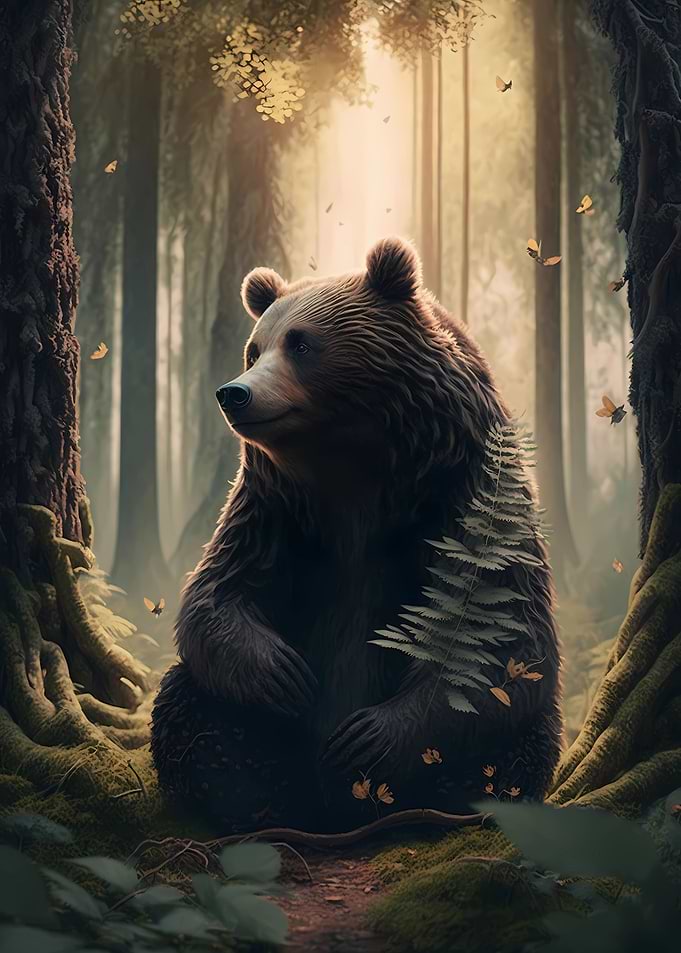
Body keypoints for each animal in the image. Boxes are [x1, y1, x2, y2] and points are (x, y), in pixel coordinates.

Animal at [151, 237, 563, 834]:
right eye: (255, 349)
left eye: (300, 343)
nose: (234, 394)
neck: (354, 465)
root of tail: (330, 812)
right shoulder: (274, 511)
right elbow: (218, 593)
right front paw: (284, 674)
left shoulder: (464, 493)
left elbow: (502, 632)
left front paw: (370, 735)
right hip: (253, 733)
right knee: (192, 708)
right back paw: (241, 801)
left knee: (514, 735)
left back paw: (464, 803)